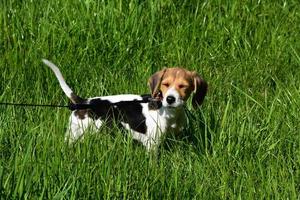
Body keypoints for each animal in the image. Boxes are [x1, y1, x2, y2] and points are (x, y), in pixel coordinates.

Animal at [42, 59, 207, 150]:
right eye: (165, 84)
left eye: (183, 86)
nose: (170, 99)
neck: (171, 113)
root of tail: (83, 102)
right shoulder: (152, 145)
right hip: (75, 133)